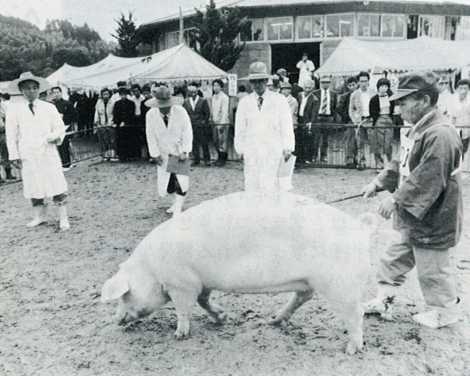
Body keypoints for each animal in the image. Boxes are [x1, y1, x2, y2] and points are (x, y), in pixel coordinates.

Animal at [102, 192, 370, 354]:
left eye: (125, 295)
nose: (116, 320)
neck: (151, 269)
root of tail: (357, 227)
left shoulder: (182, 284)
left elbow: (183, 310)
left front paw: (179, 335)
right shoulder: (201, 282)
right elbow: (204, 301)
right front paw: (222, 318)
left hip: (337, 283)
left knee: (356, 313)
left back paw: (351, 349)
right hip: (309, 280)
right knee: (303, 297)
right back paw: (274, 320)